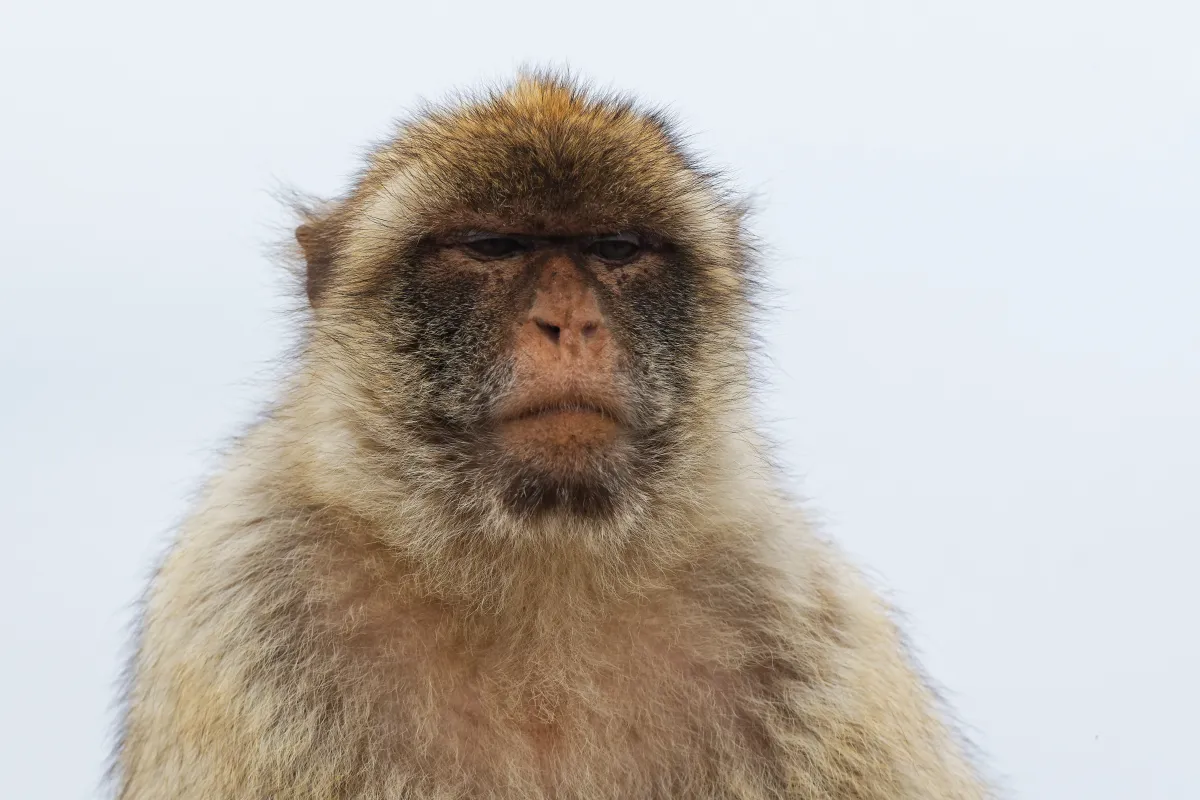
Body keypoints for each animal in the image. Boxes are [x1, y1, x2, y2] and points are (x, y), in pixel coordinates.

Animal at [113, 73, 990, 799]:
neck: (541, 565)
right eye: (491, 246)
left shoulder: (808, 625)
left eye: (617, 248)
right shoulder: (246, 601)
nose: (569, 324)